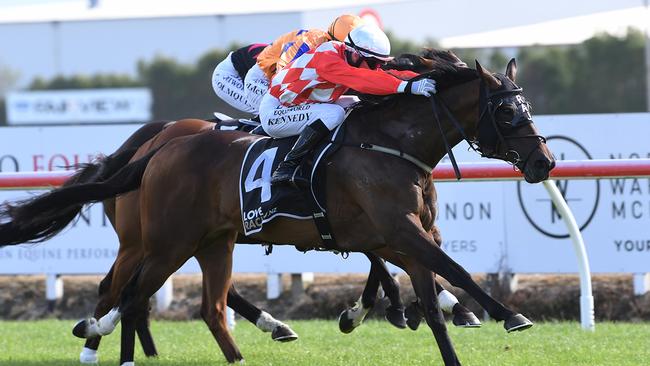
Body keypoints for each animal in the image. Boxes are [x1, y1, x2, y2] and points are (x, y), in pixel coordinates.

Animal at [2, 58, 556, 364]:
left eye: (528, 108)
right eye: (507, 111)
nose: (544, 162)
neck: (390, 144)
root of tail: (156, 148)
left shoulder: (402, 234)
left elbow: (430, 286)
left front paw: (421, 311)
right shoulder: (396, 230)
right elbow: (452, 269)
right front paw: (507, 314)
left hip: (206, 241)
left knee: (200, 301)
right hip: (160, 241)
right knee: (128, 293)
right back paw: (100, 343)